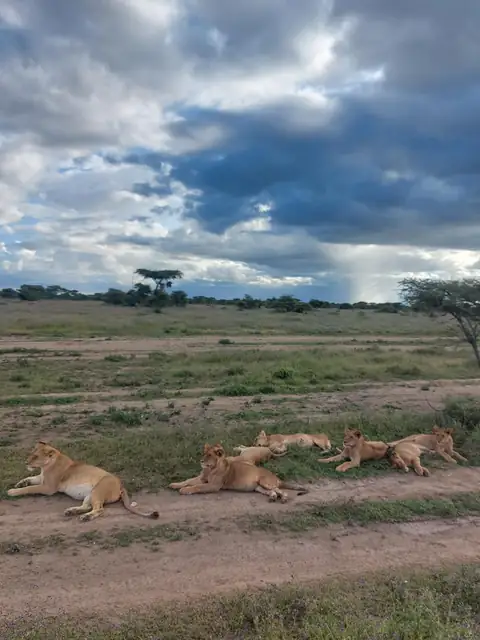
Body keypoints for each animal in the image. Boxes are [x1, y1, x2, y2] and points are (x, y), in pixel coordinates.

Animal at [7, 441, 159, 522]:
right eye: (31, 454)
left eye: (35, 457)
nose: (26, 462)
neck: (46, 466)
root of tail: (121, 485)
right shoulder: (41, 478)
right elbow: (29, 480)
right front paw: (19, 483)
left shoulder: (49, 488)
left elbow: (29, 489)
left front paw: (13, 491)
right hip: (90, 494)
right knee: (87, 506)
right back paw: (71, 511)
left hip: (98, 490)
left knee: (99, 509)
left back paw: (85, 517)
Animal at [169, 443, 309, 502]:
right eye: (204, 453)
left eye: (209, 455)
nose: (201, 461)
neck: (210, 469)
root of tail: (277, 477)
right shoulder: (201, 478)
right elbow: (188, 480)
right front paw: (175, 485)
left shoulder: (213, 486)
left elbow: (197, 486)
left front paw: (185, 490)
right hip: (259, 487)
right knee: (273, 492)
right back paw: (272, 498)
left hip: (265, 481)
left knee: (281, 490)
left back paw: (283, 498)